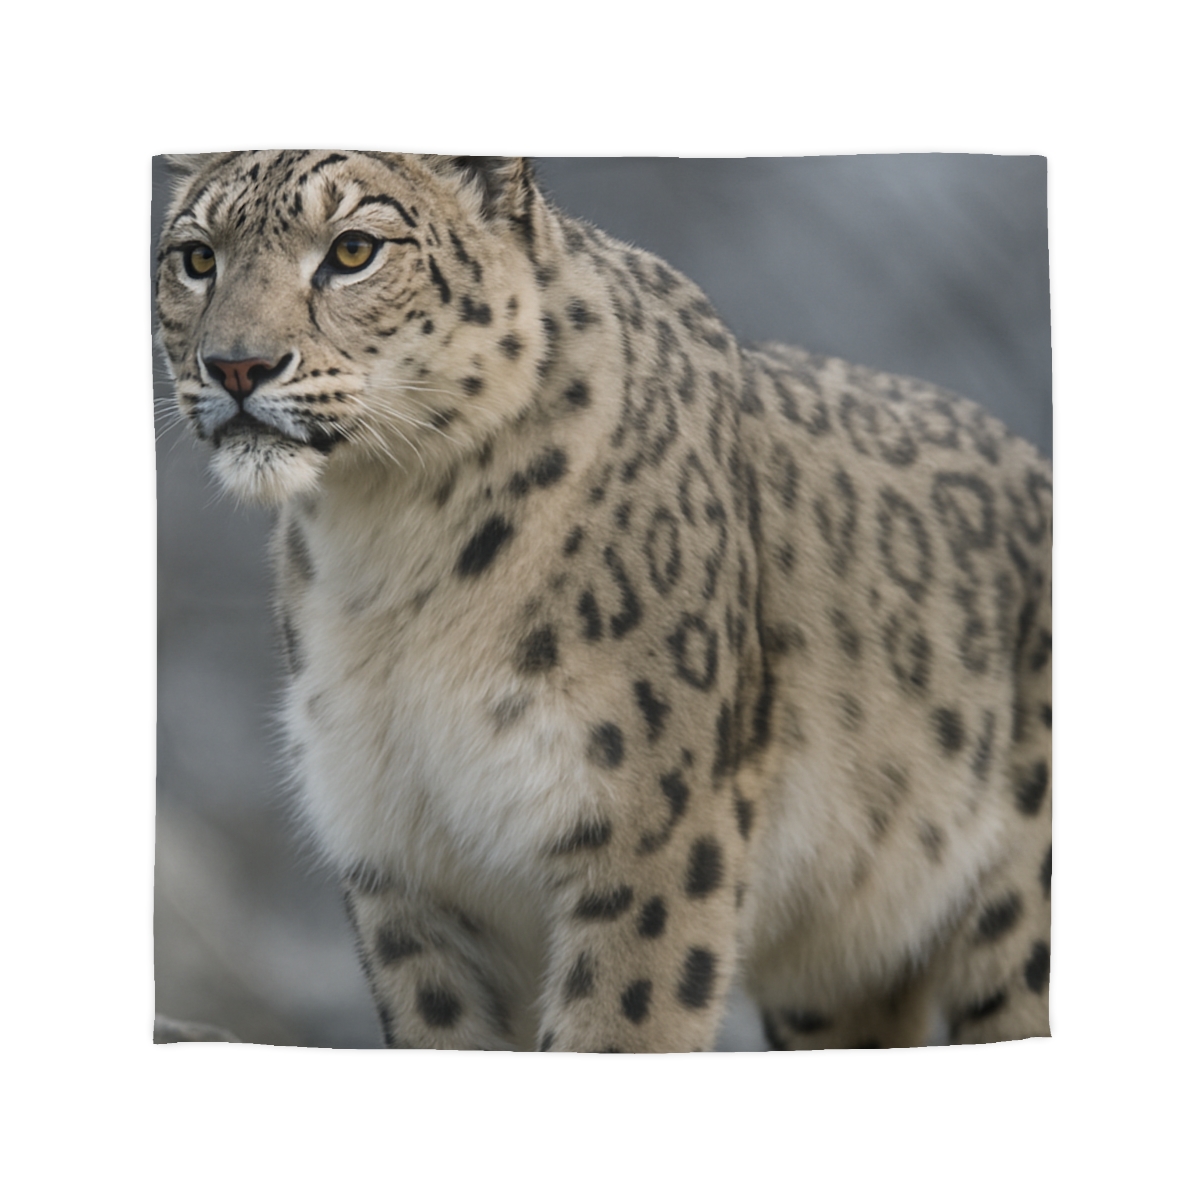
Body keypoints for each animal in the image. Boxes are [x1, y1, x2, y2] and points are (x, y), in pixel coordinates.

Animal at [155, 152, 1052, 1052]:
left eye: (352, 251)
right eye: (197, 258)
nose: (236, 366)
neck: (388, 551)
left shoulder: (650, 835)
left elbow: (619, 1026)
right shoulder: (401, 864)